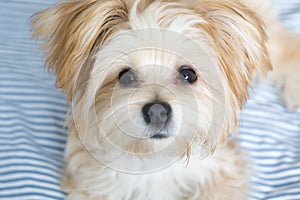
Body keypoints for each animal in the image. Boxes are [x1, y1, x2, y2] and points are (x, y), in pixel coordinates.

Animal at [31, 0, 300, 199]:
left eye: (188, 74)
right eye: (125, 76)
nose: (157, 111)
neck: (153, 160)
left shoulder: (224, 167)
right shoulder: (89, 181)